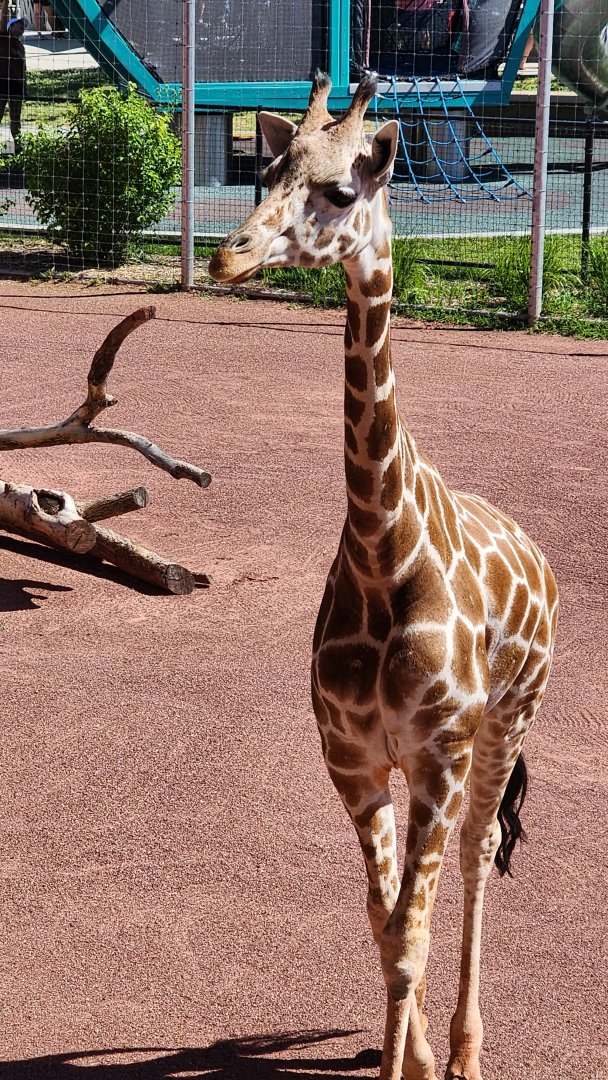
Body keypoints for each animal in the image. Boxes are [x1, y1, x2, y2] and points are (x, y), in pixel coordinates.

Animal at [209, 72, 559, 1080]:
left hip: (509, 721)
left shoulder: (439, 753)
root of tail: (541, 557)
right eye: (267, 173)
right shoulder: (355, 762)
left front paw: (426, 1063)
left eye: (340, 190)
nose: (227, 256)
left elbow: (412, 930)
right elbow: (382, 923)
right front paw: (403, 1058)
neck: (382, 548)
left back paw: (468, 1052)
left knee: (481, 852)